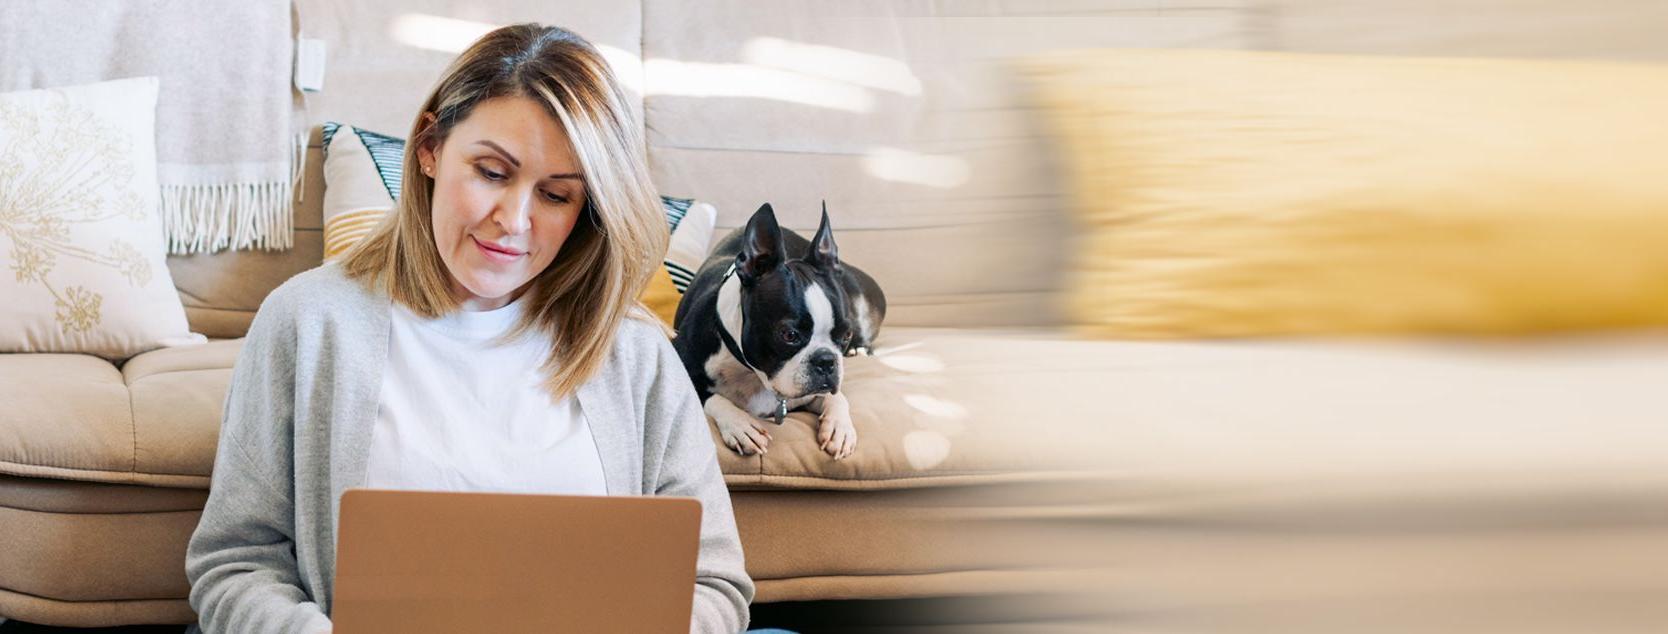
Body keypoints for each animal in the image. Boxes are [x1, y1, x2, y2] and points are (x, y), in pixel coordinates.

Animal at [673, 204, 894, 460]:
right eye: (789, 335)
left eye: (845, 335)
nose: (827, 361)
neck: (752, 373)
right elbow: (711, 397)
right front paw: (740, 425)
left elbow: (836, 397)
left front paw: (840, 427)